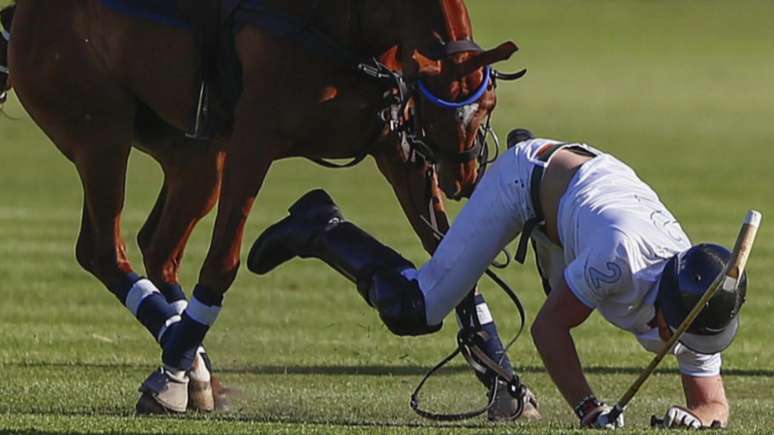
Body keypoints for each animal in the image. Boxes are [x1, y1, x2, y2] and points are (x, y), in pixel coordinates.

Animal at [3, 0, 524, 416]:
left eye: (488, 102)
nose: (464, 175)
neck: (356, 21)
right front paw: (171, 374)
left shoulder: (397, 147)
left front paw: (503, 382)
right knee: (103, 251)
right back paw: (178, 367)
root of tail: (22, 12)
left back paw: (194, 367)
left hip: (195, 155)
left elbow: (456, 259)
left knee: (159, 247)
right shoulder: (255, 138)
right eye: (445, 107)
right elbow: (222, 263)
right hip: (100, 133)